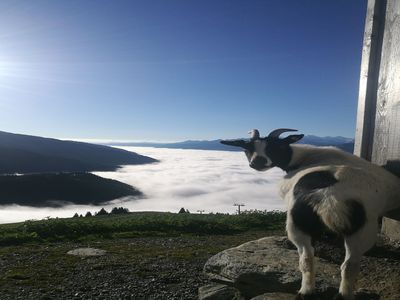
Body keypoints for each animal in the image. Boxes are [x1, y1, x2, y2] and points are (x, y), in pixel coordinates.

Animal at [220, 129, 400, 300]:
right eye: (248, 148)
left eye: (276, 146)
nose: (257, 162)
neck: (307, 157)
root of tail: (328, 196)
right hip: (358, 228)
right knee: (346, 264)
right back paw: (327, 294)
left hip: (298, 223)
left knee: (309, 259)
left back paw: (309, 293)